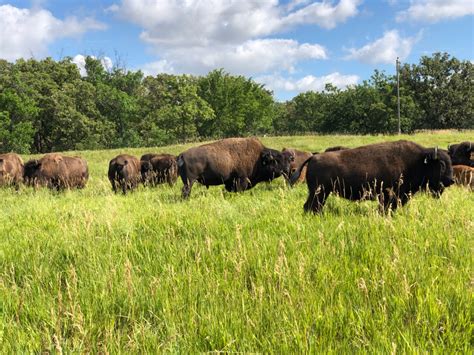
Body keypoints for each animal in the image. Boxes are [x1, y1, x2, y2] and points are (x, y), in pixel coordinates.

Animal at [290, 140, 454, 214]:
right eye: (441, 164)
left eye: (450, 162)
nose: (451, 180)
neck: (418, 160)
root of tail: (313, 157)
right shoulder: (389, 195)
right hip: (320, 192)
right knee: (311, 206)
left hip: (320, 193)